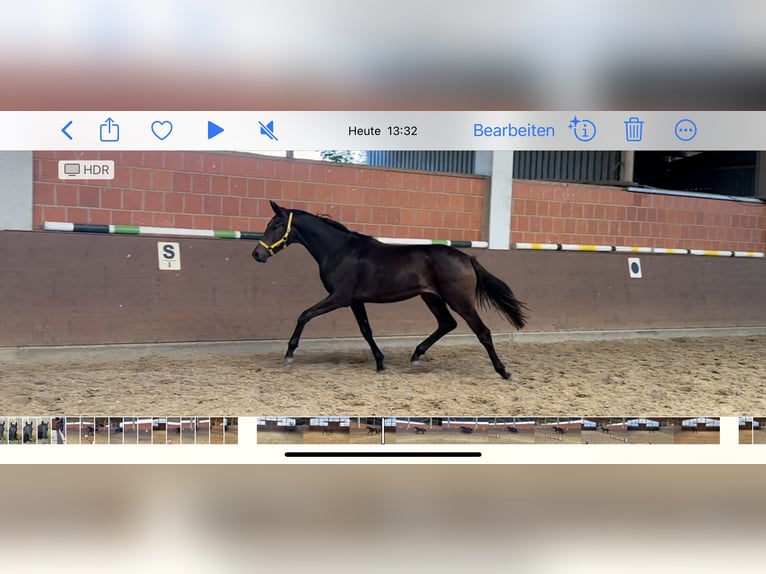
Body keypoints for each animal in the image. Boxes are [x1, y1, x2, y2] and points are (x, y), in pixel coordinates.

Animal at [254, 200, 528, 380]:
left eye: (276, 225)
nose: (257, 254)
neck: (340, 251)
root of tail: (467, 258)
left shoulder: (339, 297)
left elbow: (305, 315)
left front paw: (289, 354)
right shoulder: (355, 300)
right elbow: (366, 330)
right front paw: (380, 362)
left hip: (459, 300)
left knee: (483, 332)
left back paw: (503, 371)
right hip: (431, 298)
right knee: (447, 324)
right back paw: (416, 356)